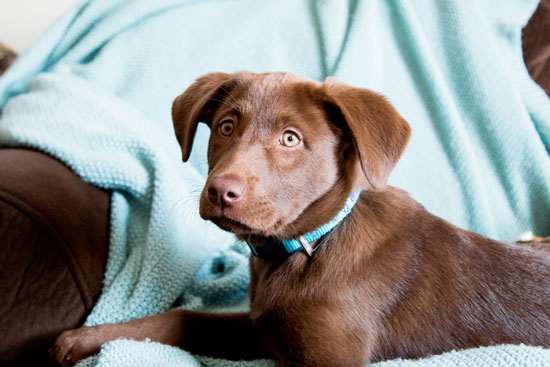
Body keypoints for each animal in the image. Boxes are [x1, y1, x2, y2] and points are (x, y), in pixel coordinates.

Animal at [51, 72, 550, 367]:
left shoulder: (330, 357)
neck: (311, 245)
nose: (220, 191)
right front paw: (87, 338)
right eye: (227, 127)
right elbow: (182, 318)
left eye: (290, 139)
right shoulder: (261, 329)